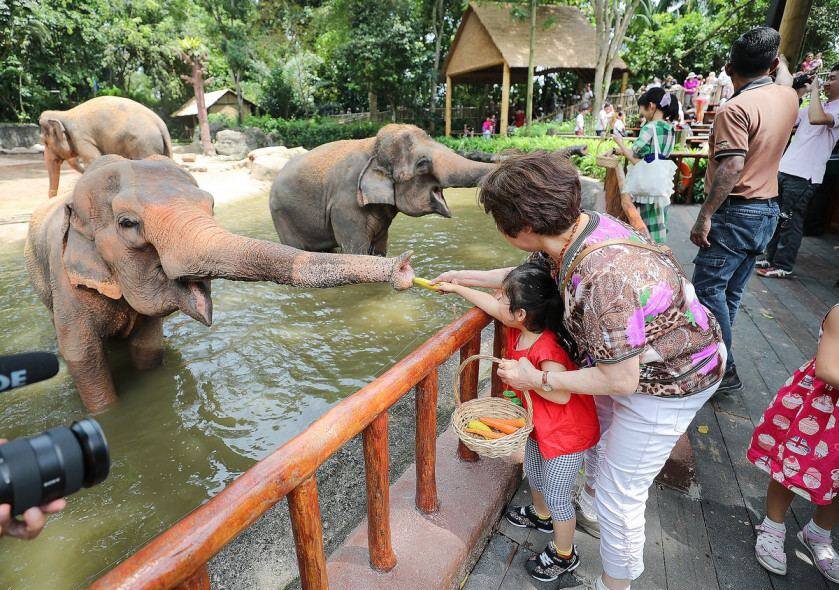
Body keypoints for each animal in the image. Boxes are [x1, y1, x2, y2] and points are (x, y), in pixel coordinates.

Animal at [27, 157, 416, 416]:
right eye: (127, 223)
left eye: (211, 204)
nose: (404, 269)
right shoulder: (66, 284)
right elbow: (83, 356)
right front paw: (107, 416)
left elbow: (148, 347)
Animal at [39, 96, 172, 199]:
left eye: (45, 142)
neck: (63, 113)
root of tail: (162, 125)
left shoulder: (81, 138)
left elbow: (94, 160)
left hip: (144, 145)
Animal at [268, 123, 498, 256]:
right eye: (422, 163)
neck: (372, 148)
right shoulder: (345, 205)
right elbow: (355, 253)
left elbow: (379, 249)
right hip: (282, 215)